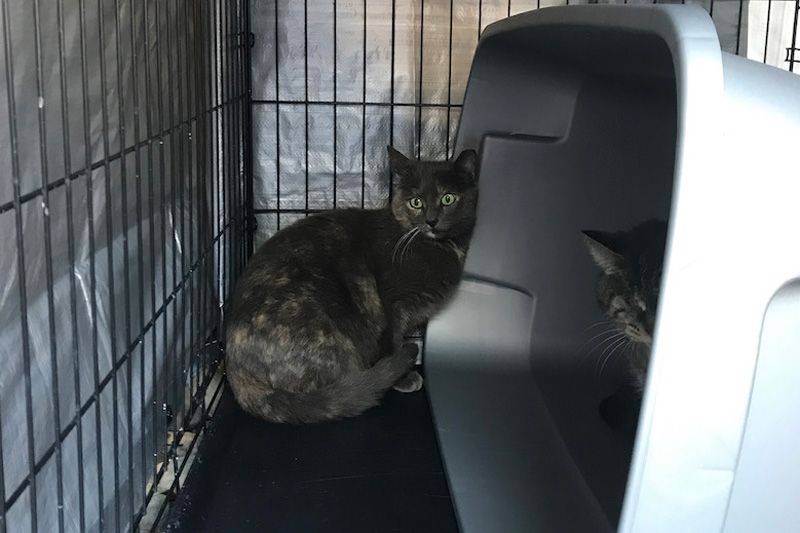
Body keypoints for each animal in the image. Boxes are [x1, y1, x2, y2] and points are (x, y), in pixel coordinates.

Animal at [225, 148, 478, 422]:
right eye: (416, 202)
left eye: (448, 198)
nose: (432, 221)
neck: (440, 248)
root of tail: (235, 371)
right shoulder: (393, 306)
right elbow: (392, 340)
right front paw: (403, 378)